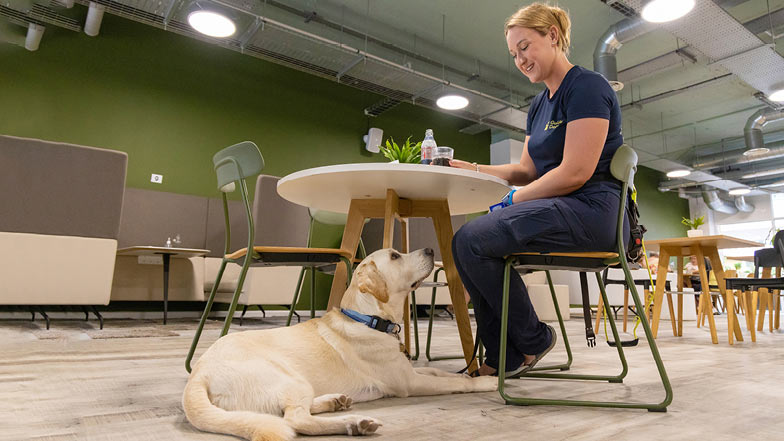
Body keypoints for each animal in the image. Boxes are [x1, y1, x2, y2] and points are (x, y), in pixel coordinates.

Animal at [184, 248, 496, 440]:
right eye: (395, 255)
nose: (431, 250)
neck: (369, 318)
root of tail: (198, 375)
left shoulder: (409, 369)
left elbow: (439, 371)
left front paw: (470, 373)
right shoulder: (410, 382)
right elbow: (451, 382)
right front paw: (483, 382)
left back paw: (336, 401)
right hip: (290, 378)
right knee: (295, 419)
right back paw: (354, 423)